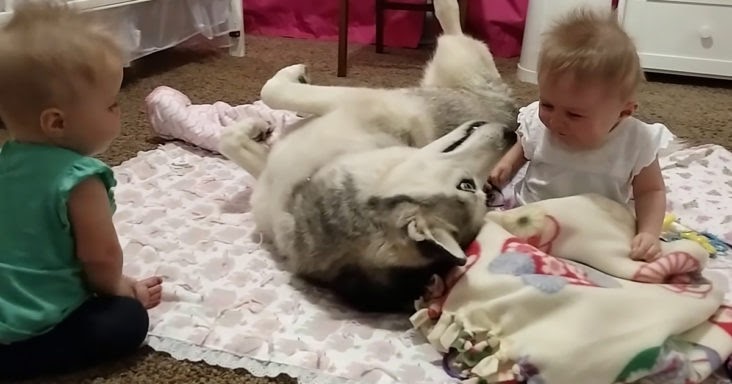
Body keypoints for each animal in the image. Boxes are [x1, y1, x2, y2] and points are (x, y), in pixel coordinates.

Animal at [220, 0, 516, 312]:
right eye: (468, 185)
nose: (510, 135)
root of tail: (512, 110)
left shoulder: (361, 99)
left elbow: (274, 91)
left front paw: (284, 87)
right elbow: (230, 140)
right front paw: (258, 128)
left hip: (455, 60)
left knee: (455, 34)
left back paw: (443, 5)